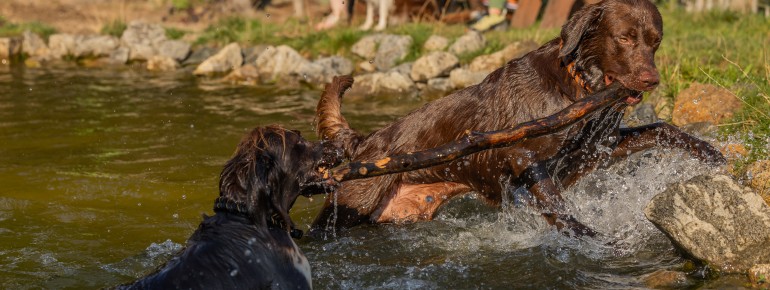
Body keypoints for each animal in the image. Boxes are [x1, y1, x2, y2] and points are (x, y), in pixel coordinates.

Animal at [308, 0, 724, 237]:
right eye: (624, 38)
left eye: (655, 41)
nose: (651, 80)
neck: (575, 86)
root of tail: (366, 142)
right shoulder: (522, 155)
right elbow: (555, 202)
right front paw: (583, 233)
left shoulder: (596, 149)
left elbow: (662, 128)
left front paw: (709, 153)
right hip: (350, 206)